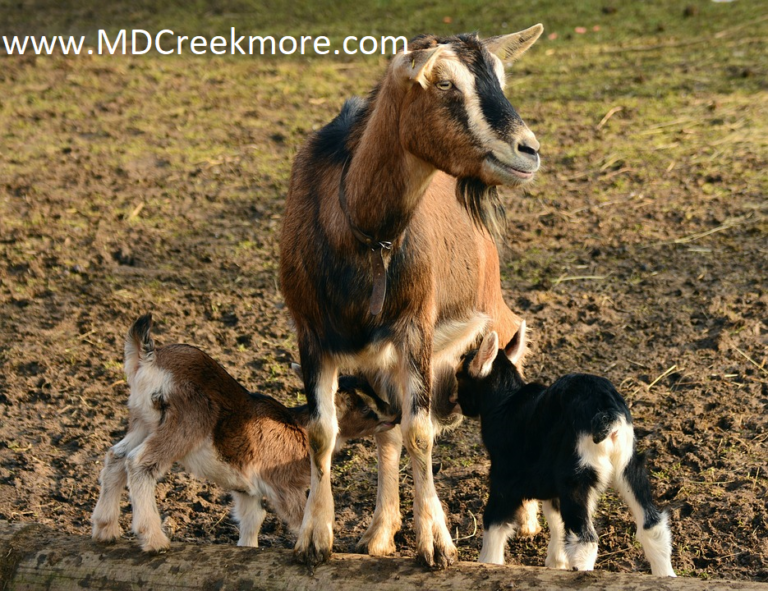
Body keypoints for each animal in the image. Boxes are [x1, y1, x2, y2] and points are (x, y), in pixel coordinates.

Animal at [91, 314, 398, 552]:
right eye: (364, 407)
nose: (394, 413)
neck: (298, 427)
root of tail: (150, 359)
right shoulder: (282, 484)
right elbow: (300, 518)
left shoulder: (246, 488)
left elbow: (252, 520)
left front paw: (247, 548)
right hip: (186, 421)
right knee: (139, 462)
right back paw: (154, 540)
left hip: (143, 420)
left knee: (116, 456)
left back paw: (105, 529)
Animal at [280, 25, 544, 568]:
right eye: (443, 83)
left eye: (500, 77)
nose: (528, 150)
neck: (360, 232)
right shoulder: (311, 333)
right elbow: (323, 432)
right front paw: (315, 539)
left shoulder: (415, 325)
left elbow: (419, 431)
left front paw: (437, 544)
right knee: (388, 432)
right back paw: (380, 533)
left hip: (495, 314)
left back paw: (527, 519)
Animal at [454, 323, 676, 576]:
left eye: (459, 375)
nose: (455, 404)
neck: (506, 401)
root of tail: (606, 412)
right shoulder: (552, 483)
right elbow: (556, 519)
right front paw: (556, 563)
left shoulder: (504, 477)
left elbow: (494, 523)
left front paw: (487, 564)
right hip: (628, 465)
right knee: (652, 525)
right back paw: (666, 576)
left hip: (577, 474)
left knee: (585, 539)